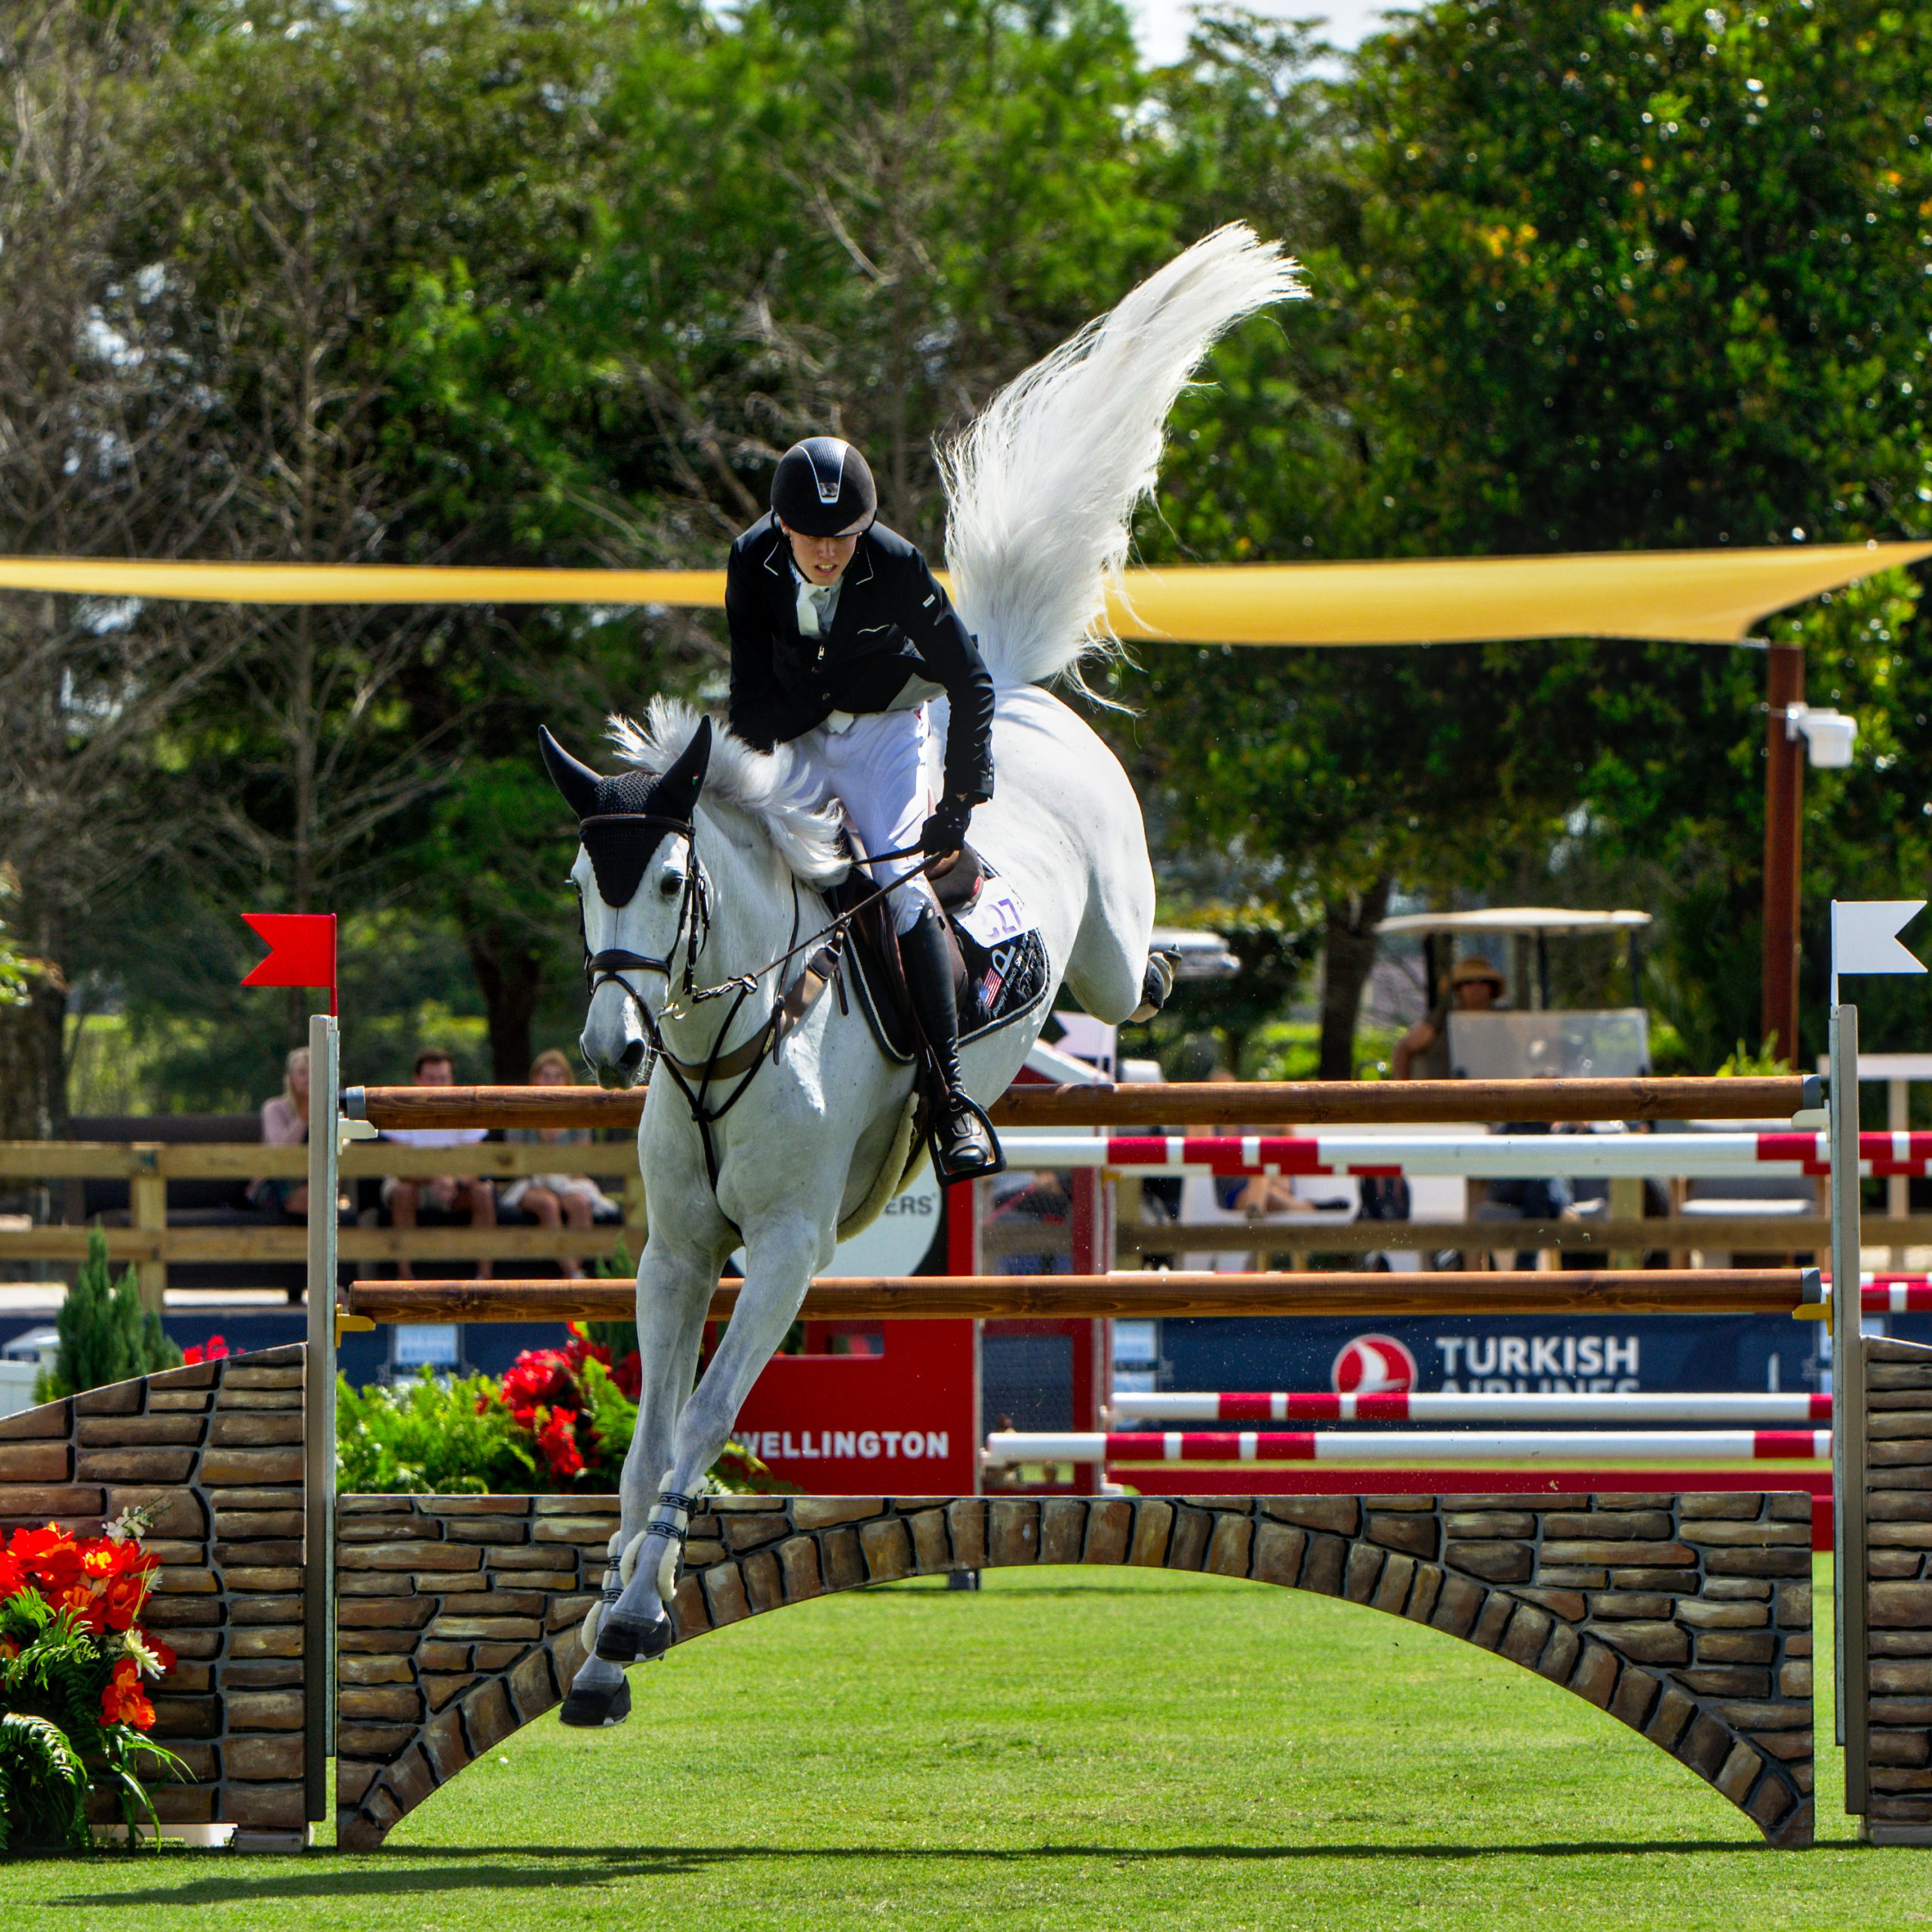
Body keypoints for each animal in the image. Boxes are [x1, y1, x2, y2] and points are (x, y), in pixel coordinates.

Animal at [544, 226, 1298, 1723]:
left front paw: (635, 1623)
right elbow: (647, 1437)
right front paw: (601, 1644)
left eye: (670, 883)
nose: (609, 1051)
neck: (735, 1042)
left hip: (1099, 914)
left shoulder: (784, 1250)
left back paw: (1155, 956)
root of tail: (1018, 696)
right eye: (585, 886)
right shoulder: (678, 1251)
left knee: (1124, 966)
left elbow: (704, 1421)